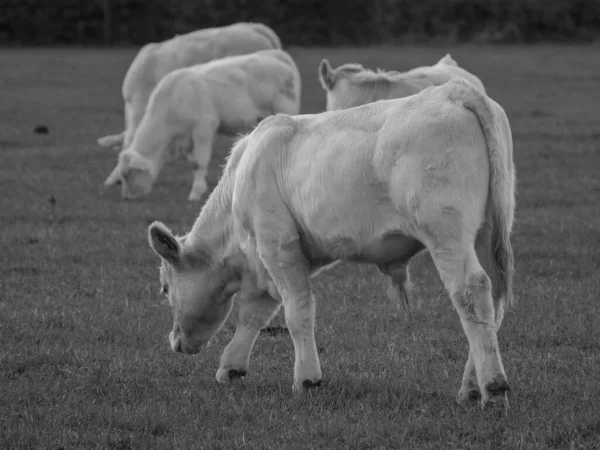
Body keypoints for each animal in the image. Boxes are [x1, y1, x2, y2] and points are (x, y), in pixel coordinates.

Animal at [103, 48, 302, 200]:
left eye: (129, 174)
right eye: (120, 177)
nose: (127, 197)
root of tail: (276, 55)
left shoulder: (203, 129)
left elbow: (200, 162)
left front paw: (195, 193)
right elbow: (193, 164)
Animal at [145, 79, 516, 410]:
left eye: (164, 288)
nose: (174, 341)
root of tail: (453, 91)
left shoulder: (278, 247)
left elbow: (297, 313)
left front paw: (307, 378)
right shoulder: (262, 264)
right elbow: (252, 315)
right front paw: (231, 365)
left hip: (446, 232)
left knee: (470, 292)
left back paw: (493, 387)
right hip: (486, 233)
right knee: (494, 304)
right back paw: (471, 387)